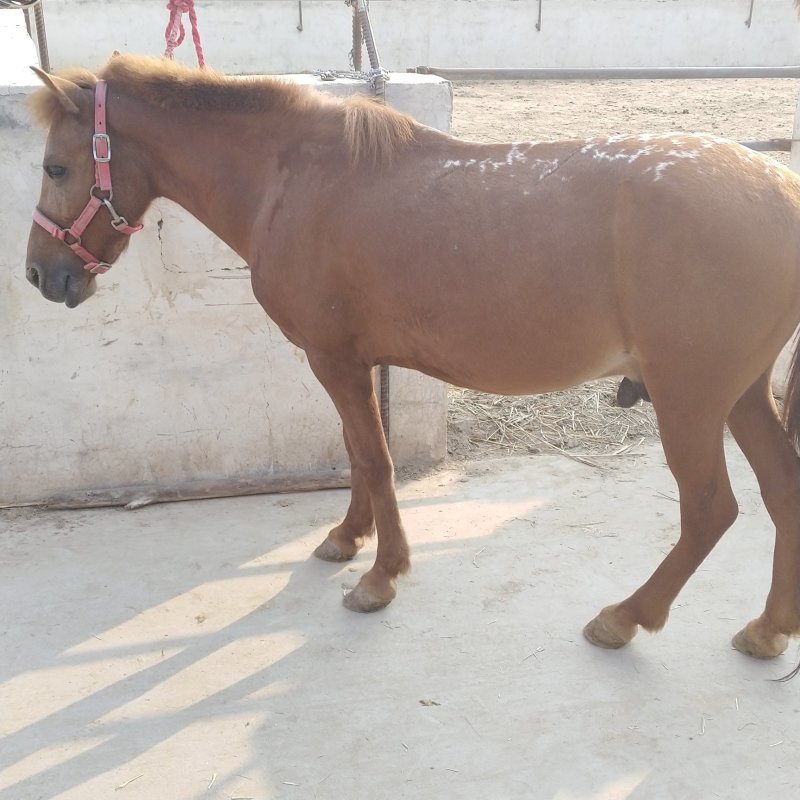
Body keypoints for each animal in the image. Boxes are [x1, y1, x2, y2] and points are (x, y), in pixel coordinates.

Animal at [25, 55, 800, 665]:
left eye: (55, 166)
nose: (40, 275)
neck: (292, 179)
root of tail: (781, 188)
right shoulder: (349, 360)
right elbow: (357, 451)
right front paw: (347, 538)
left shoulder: (332, 359)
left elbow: (374, 459)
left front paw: (380, 576)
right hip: (742, 394)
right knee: (781, 491)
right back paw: (766, 630)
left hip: (691, 398)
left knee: (710, 511)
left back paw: (623, 618)